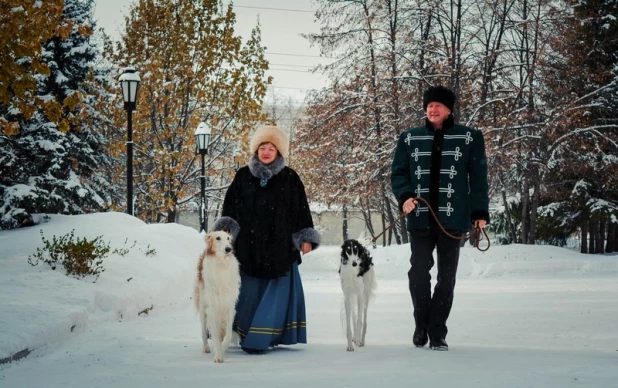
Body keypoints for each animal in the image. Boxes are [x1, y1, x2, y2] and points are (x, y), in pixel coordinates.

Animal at [192, 230, 241, 364]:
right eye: (218, 238)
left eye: (228, 238)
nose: (228, 249)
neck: (221, 264)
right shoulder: (212, 308)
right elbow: (214, 335)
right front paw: (218, 355)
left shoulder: (229, 307)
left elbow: (228, 335)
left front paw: (223, 348)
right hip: (203, 307)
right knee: (204, 331)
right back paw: (206, 347)